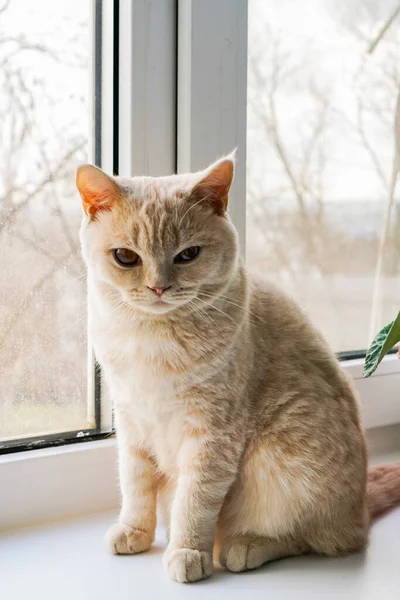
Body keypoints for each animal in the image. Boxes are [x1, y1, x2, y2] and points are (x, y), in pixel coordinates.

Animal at [76, 154, 400, 580]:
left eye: (187, 255)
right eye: (126, 257)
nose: (159, 288)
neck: (151, 338)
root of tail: (360, 507)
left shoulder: (212, 435)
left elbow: (194, 501)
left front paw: (187, 551)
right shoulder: (132, 422)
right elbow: (135, 484)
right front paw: (136, 531)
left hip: (282, 458)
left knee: (316, 538)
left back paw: (246, 545)